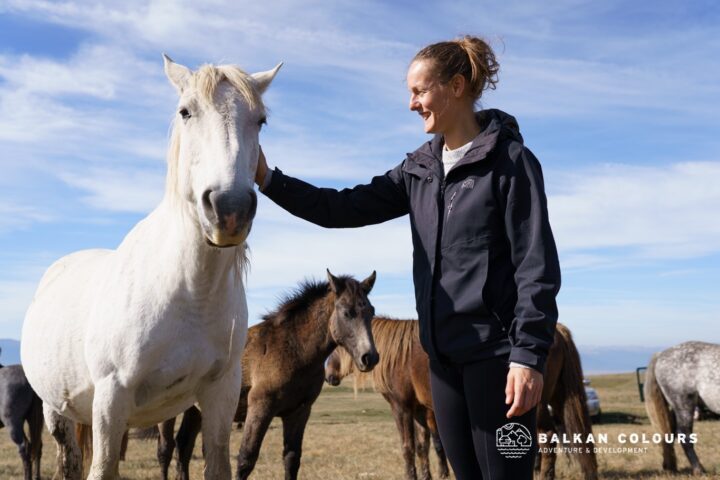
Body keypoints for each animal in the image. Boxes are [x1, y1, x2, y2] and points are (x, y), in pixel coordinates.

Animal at [21, 54, 280, 478]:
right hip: (56, 411)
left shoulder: (221, 393)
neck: (189, 293)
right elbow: (103, 467)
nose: (229, 209)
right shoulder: (111, 398)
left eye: (260, 120)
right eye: (186, 111)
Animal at [155, 272, 380, 478]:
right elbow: (245, 459)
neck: (293, 350)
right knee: (166, 450)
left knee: (183, 447)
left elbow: (291, 459)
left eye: (371, 311)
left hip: (195, 410)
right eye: (347, 313)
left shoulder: (298, 412)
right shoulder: (260, 407)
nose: (370, 357)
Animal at [326, 318, 596, 480]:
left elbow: (408, 447)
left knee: (546, 438)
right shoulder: (419, 410)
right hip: (557, 399)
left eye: (336, 344)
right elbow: (423, 446)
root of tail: (558, 330)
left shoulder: (401, 407)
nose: (328, 375)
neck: (396, 355)